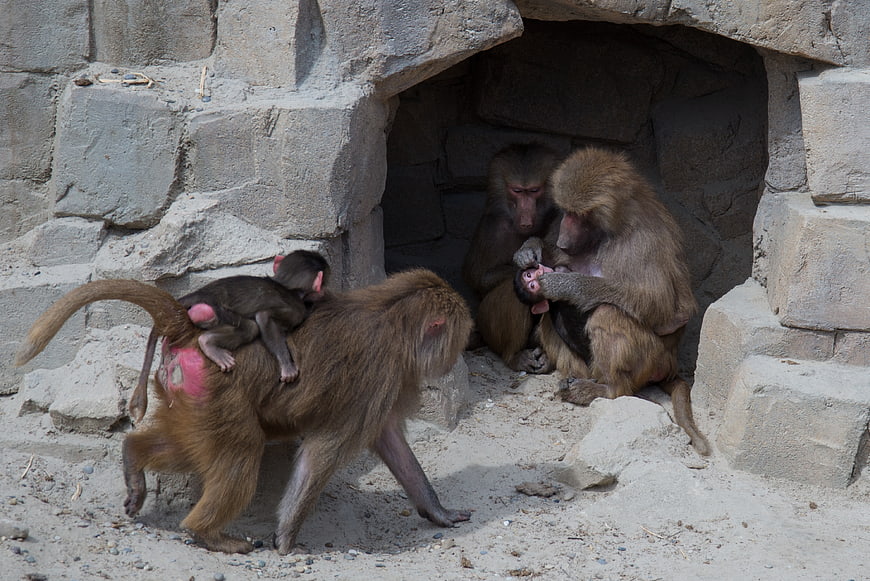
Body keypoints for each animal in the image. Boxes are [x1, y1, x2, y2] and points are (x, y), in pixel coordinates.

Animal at [16, 268, 473, 554]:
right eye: (458, 335)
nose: (456, 357)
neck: (391, 315)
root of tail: (188, 330)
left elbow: (391, 443)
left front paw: (438, 512)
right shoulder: (379, 375)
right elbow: (323, 452)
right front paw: (286, 541)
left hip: (191, 401)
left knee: (184, 445)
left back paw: (134, 460)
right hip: (218, 394)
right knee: (241, 452)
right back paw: (207, 533)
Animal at [129, 250, 329, 423]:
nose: (323, 292)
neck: (285, 285)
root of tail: (202, 292)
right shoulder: (296, 309)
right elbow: (264, 318)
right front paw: (287, 366)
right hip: (220, 310)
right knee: (250, 328)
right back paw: (209, 344)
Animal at [461, 143, 562, 372]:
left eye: (534, 190)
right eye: (517, 191)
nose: (525, 219)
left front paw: (532, 246)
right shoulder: (492, 227)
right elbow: (479, 280)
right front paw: (524, 259)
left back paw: (546, 357)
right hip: (487, 324)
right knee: (511, 289)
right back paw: (515, 357)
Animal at [512, 147, 709, 456]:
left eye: (579, 215)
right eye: (566, 212)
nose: (564, 238)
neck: (614, 229)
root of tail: (670, 365)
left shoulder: (643, 241)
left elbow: (668, 310)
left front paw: (565, 285)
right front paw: (530, 248)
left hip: (653, 359)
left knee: (607, 313)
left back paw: (607, 390)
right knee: (548, 317)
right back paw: (573, 380)